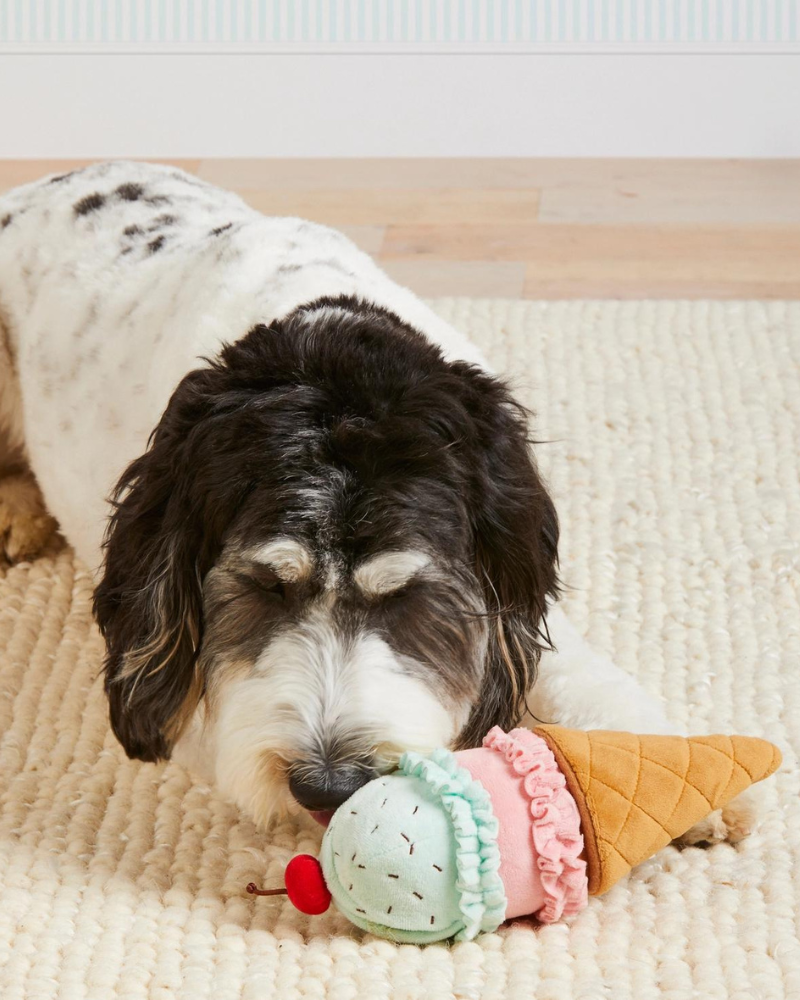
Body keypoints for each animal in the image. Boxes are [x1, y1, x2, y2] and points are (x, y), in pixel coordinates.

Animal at [0, 162, 752, 836]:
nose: (328, 786)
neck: (326, 348)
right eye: (265, 588)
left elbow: (579, 669)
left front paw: (678, 770)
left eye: (406, 597)